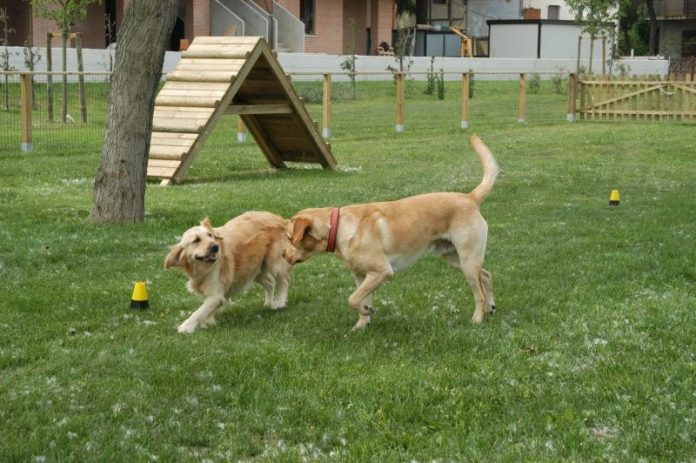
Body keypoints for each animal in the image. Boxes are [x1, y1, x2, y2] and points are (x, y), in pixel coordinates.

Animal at [283, 134, 499, 330]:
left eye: (289, 238)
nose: (283, 255)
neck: (339, 229)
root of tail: (470, 197)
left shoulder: (381, 272)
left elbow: (352, 299)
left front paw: (366, 312)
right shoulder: (361, 276)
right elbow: (359, 299)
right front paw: (362, 323)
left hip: (467, 260)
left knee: (479, 292)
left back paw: (477, 319)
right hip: (455, 259)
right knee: (486, 275)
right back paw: (490, 308)